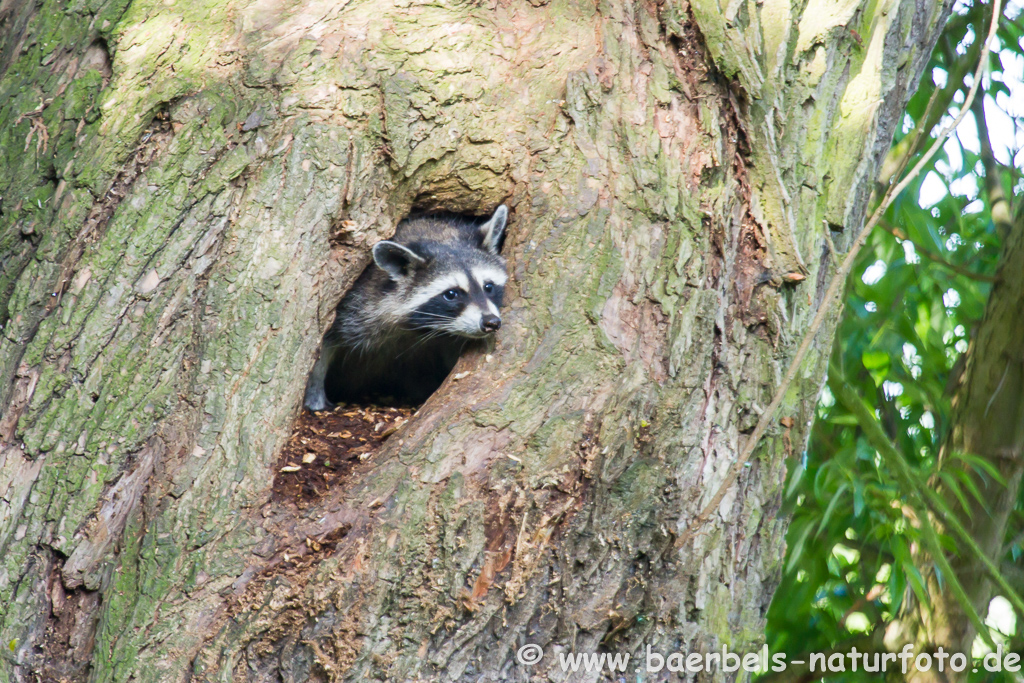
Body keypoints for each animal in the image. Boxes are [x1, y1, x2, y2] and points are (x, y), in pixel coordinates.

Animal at [303, 205, 512, 409]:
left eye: (488, 287)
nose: (491, 322)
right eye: (451, 294)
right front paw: (314, 389)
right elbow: (322, 347)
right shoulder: (353, 306)